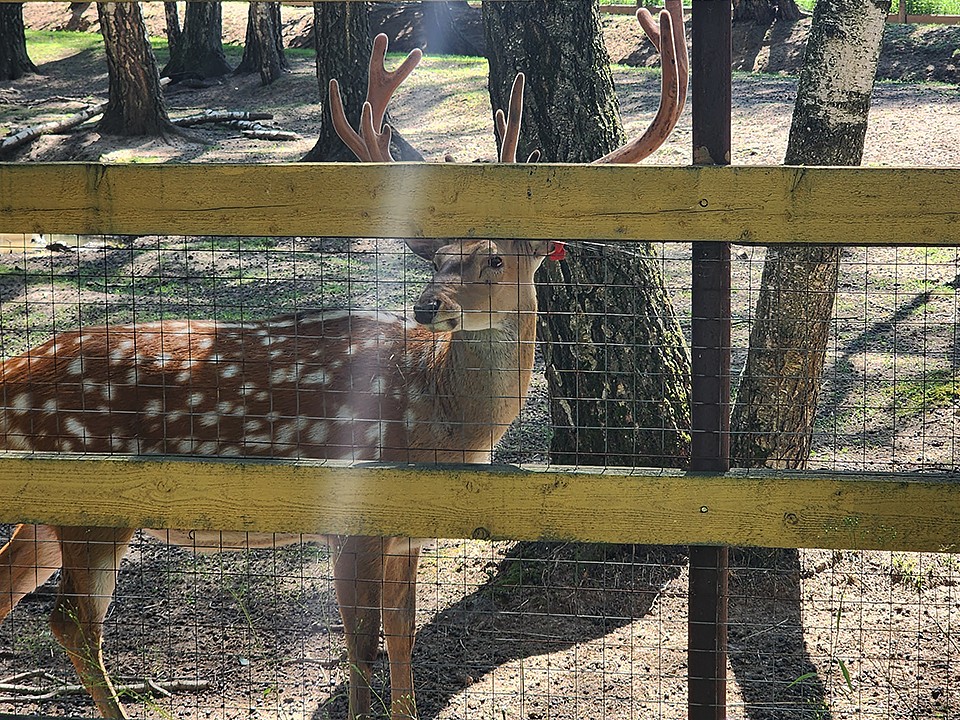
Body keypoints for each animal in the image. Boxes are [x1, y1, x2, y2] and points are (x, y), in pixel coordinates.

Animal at [0, 4, 684, 716]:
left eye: (495, 258)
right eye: (435, 258)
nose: (427, 305)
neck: (439, 423)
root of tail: (9, 373)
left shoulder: (405, 538)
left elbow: (402, 646)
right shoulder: (352, 520)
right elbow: (360, 653)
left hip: (46, 502)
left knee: (12, 589)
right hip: (88, 496)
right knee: (71, 621)